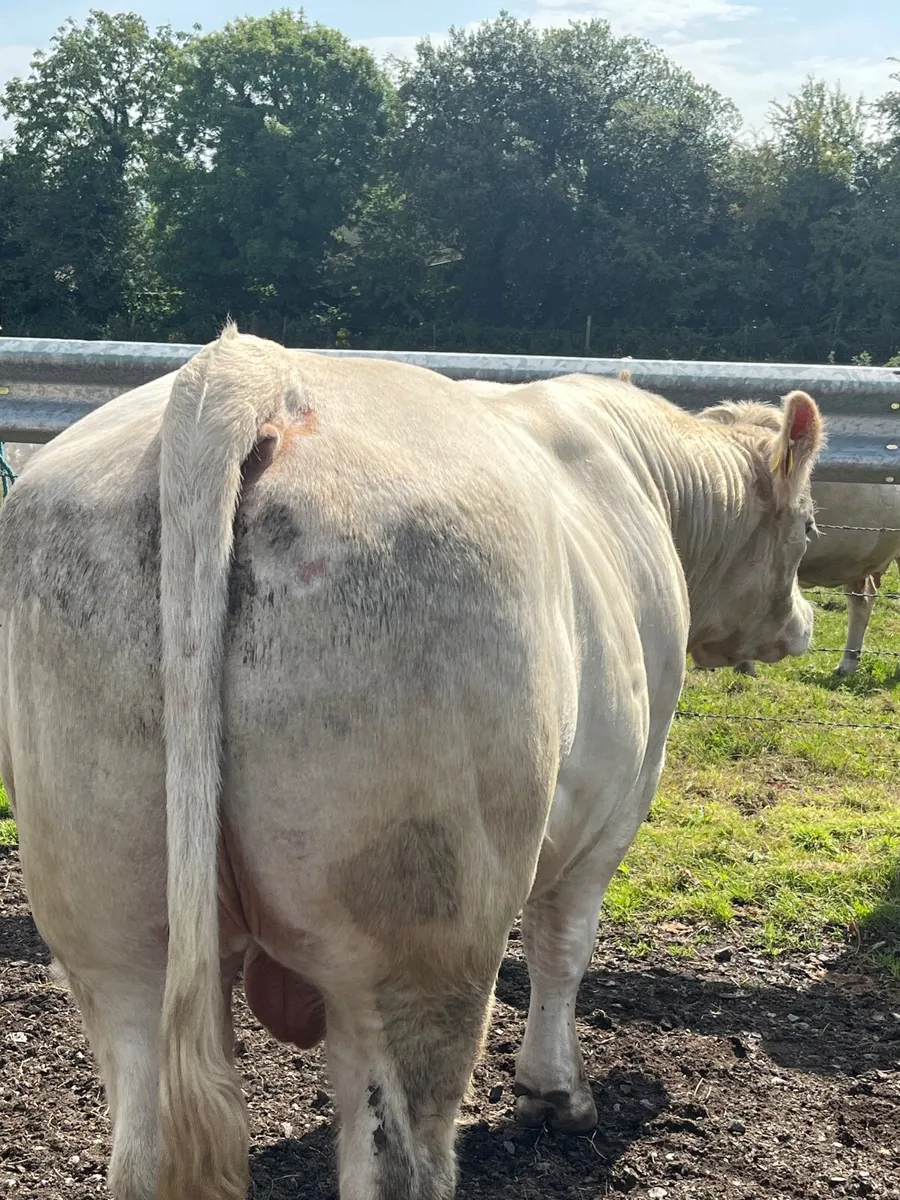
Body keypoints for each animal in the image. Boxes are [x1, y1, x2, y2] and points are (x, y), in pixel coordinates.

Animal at [0, 327, 822, 1200]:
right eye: (809, 527)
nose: (801, 624)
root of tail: (243, 369)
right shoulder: (616, 808)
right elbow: (563, 948)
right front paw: (556, 1094)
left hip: (115, 933)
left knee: (143, 1140)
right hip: (419, 937)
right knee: (401, 1152)